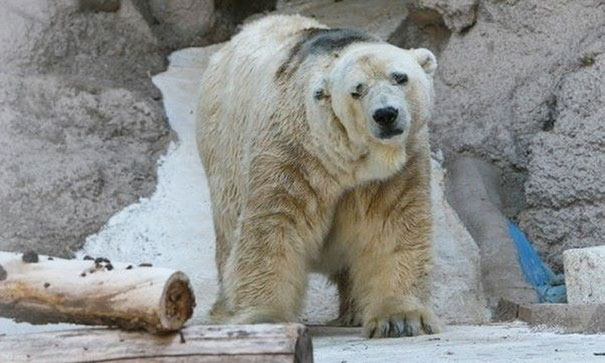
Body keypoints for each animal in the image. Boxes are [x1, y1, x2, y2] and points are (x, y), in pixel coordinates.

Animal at [198, 14, 438, 338]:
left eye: (400, 77)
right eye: (357, 90)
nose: (386, 114)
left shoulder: (398, 167)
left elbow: (393, 223)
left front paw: (399, 319)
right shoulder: (294, 151)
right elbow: (274, 224)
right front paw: (265, 317)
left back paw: (354, 311)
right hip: (223, 153)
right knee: (228, 233)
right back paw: (224, 310)